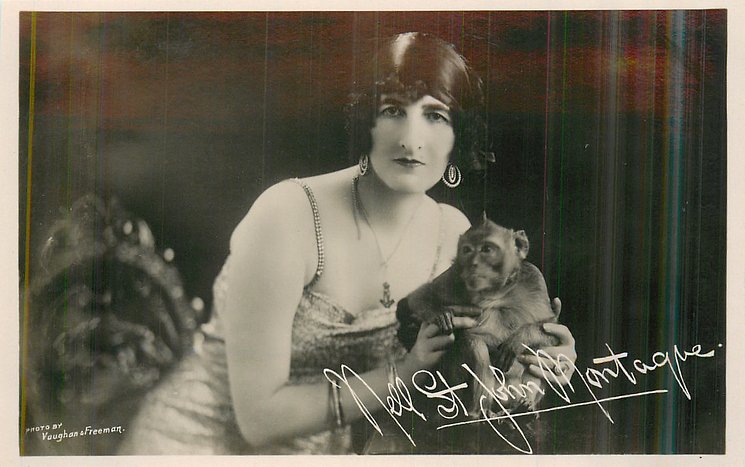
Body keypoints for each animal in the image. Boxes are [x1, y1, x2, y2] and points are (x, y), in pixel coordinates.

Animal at [396, 214, 561, 418]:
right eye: (467, 250)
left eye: (486, 249)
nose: (473, 264)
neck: (495, 293)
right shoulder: (454, 275)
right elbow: (418, 297)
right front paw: (440, 313)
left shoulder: (535, 281)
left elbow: (552, 329)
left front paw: (519, 340)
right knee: (475, 345)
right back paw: (479, 412)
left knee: (538, 351)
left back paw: (523, 407)